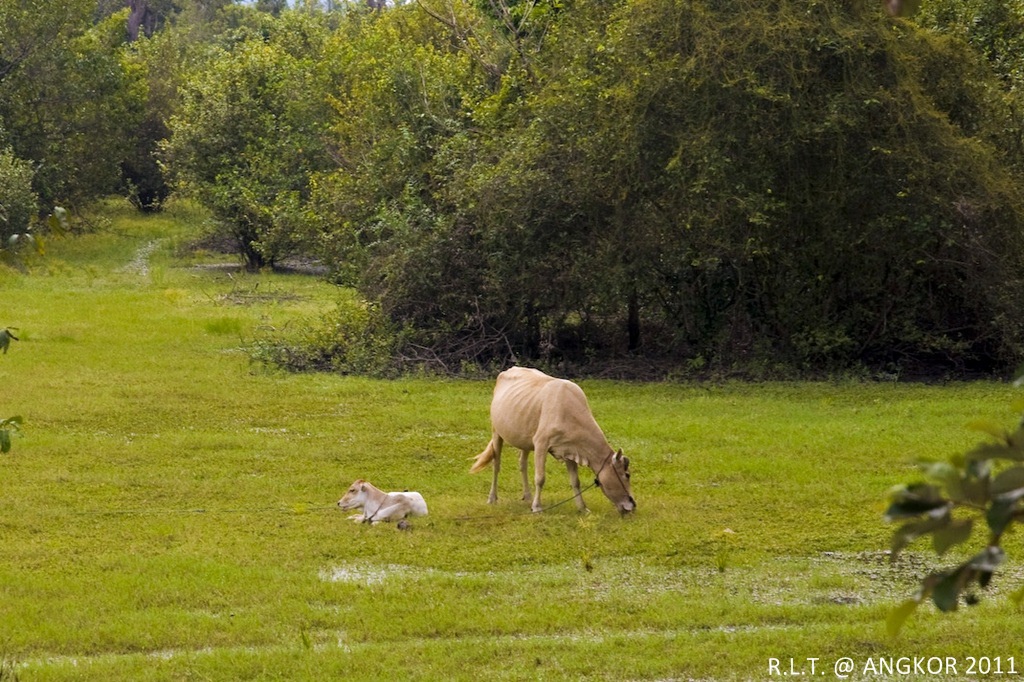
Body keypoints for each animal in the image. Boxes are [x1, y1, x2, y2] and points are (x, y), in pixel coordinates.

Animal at [468, 364, 630, 512]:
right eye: (627, 475)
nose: (632, 504)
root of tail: (509, 370)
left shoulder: (570, 449)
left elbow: (575, 481)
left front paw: (583, 508)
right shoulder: (541, 443)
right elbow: (540, 478)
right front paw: (537, 507)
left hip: (525, 437)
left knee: (522, 463)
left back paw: (527, 496)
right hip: (496, 431)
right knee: (496, 464)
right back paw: (492, 498)